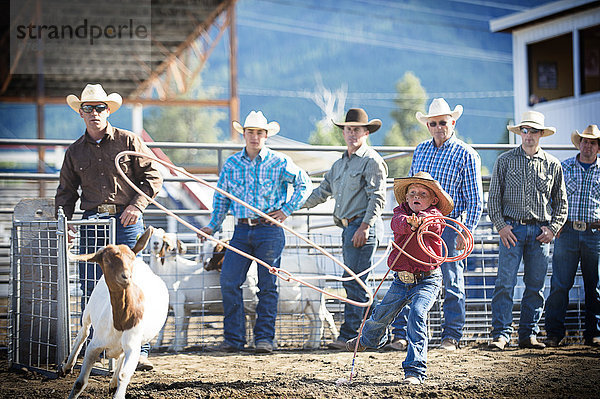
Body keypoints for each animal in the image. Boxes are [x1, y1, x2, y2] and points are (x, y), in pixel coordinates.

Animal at [59, 228, 169, 399]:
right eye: (107, 260)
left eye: (131, 258)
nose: (126, 277)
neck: (123, 319)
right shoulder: (94, 346)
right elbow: (80, 382)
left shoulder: (133, 346)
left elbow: (124, 373)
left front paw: (117, 387)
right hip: (88, 311)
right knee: (83, 333)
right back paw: (67, 366)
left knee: (120, 356)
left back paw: (113, 383)